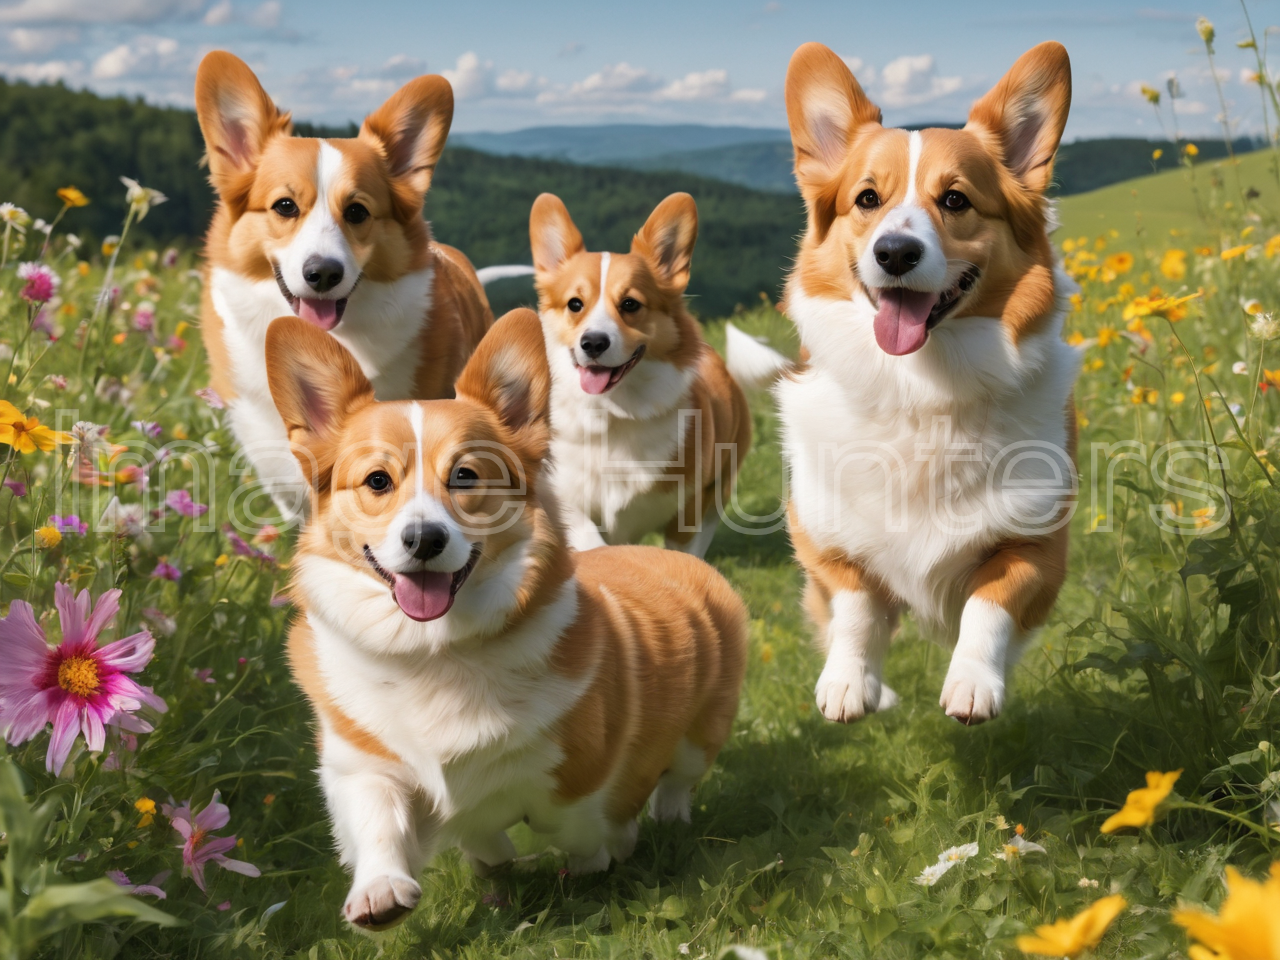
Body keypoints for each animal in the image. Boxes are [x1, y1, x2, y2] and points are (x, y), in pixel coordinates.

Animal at [270, 309, 747, 931]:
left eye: (466, 476)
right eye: (377, 481)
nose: (425, 539)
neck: (434, 652)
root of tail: (673, 558)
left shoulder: (581, 772)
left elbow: (579, 823)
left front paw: (601, 853)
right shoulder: (361, 760)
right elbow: (386, 818)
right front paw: (382, 891)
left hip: (702, 731)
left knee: (678, 781)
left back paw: (664, 819)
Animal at [527, 193, 747, 555]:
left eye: (630, 304)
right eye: (575, 304)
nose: (593, 343)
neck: (612, 412)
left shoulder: (692, 508)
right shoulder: (564, 494)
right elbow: (590, 540)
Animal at [768, 41, 1080, 727]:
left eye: (956, 200)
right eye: (866, 199)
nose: (895, 253)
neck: (919, 386)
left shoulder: (1037, 544)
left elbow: (989, 602)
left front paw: (972, 683)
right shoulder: (824, 543)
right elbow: (855, 606)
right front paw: (849, 684)